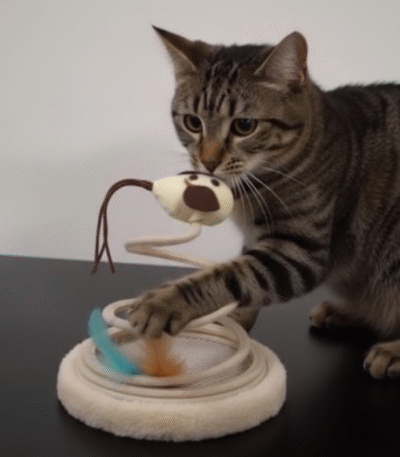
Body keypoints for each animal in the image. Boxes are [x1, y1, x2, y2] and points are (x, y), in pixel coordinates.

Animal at [127, 26, 400, 380]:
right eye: (192, 122)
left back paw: (392, 351)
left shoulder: (300, 251)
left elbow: (232, 275)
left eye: (244, 125)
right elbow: (242, 272)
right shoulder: (259, 239)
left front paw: (164, 301)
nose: (208, 162)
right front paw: (233, 317)